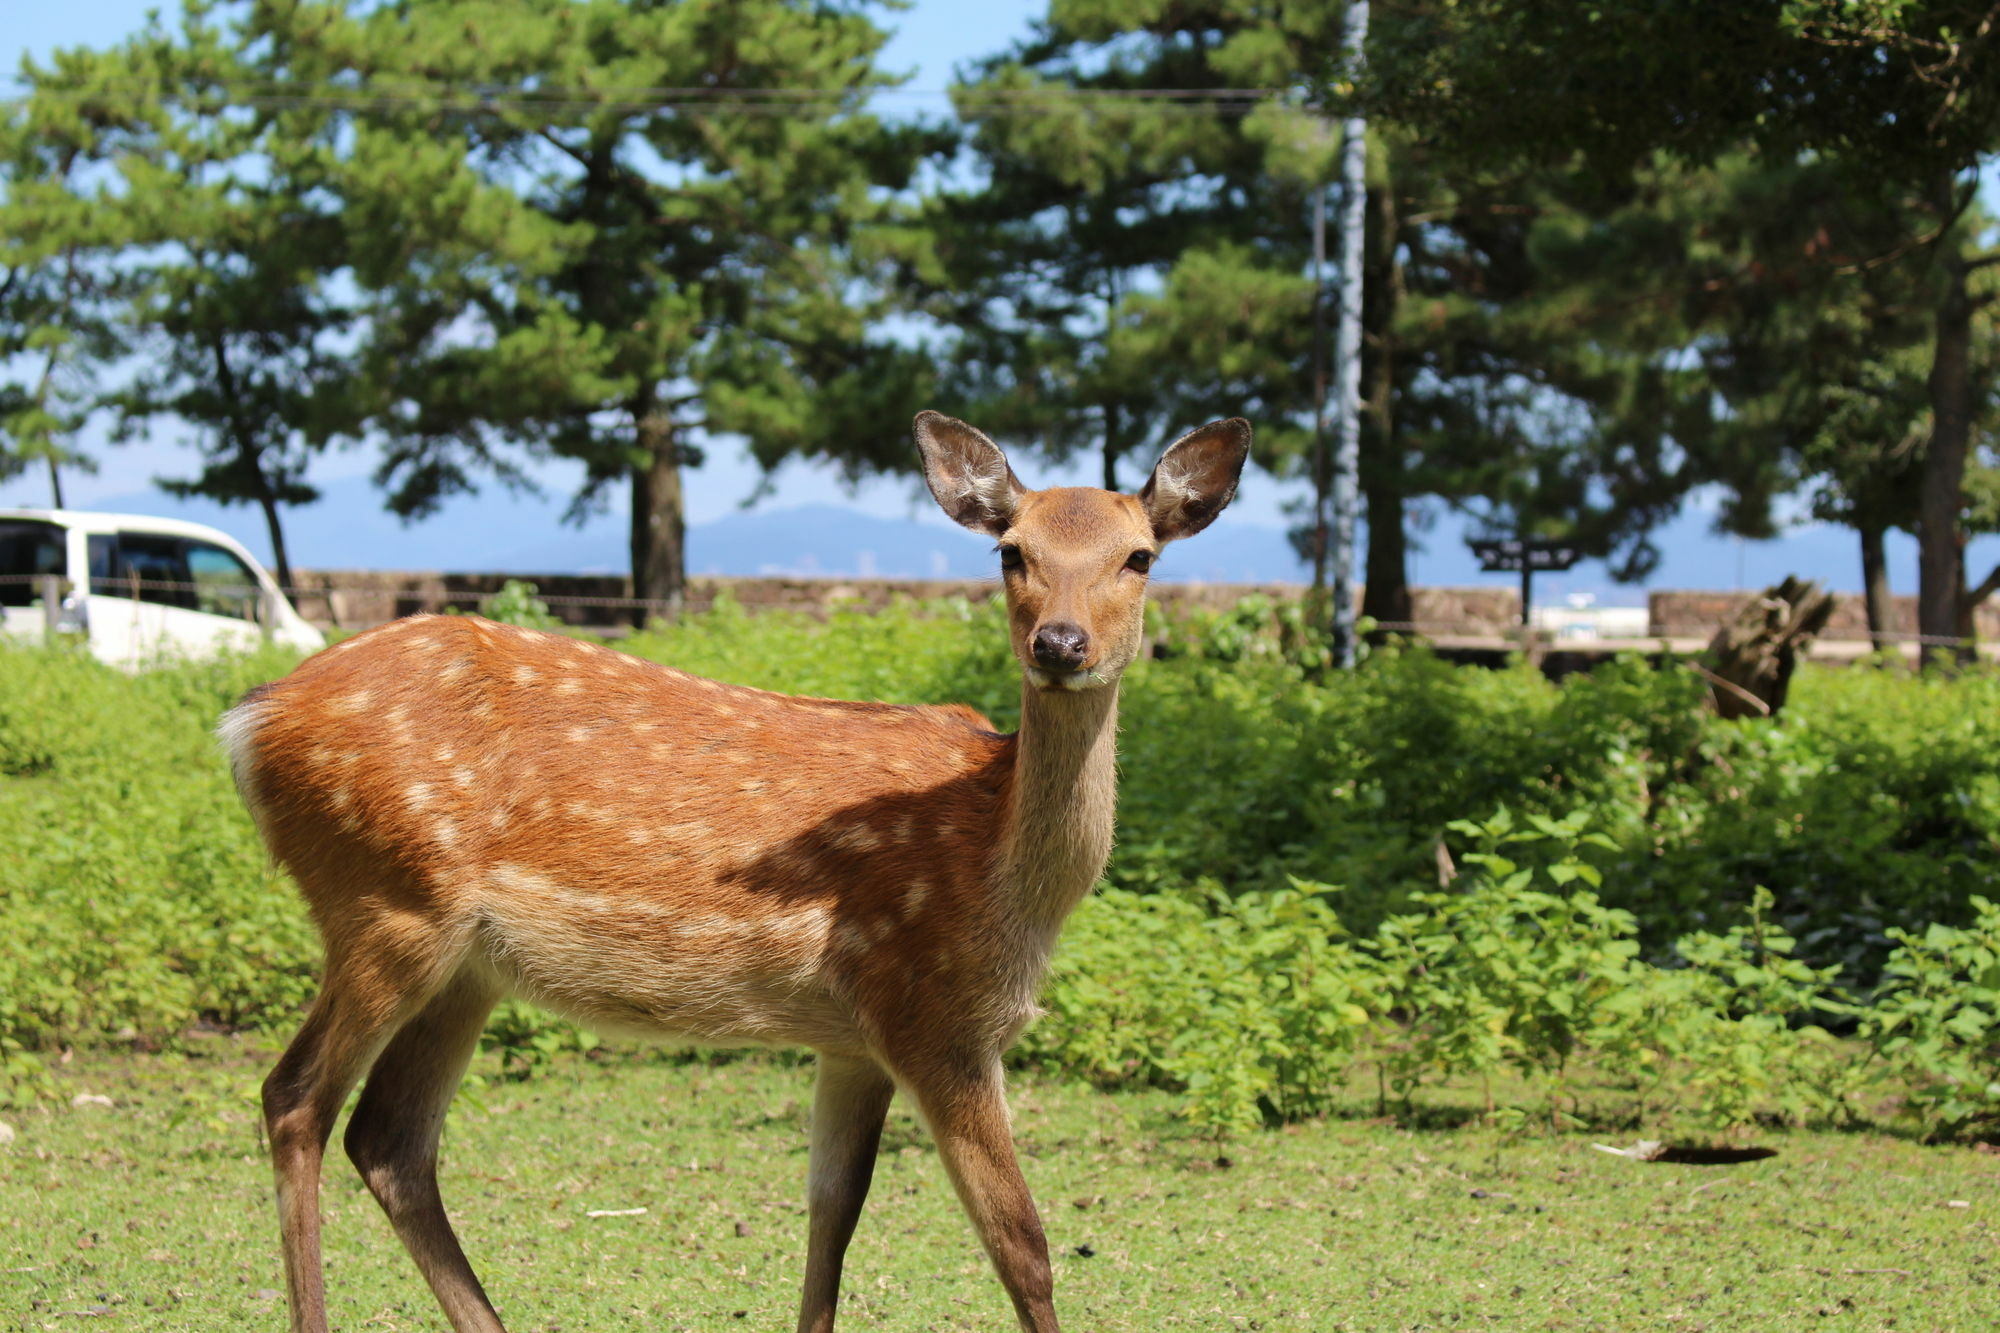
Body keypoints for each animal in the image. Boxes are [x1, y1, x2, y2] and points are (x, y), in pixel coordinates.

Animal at [219, 410, 1248, 1320]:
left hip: (466, 965)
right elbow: (1024, 1247)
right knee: (295, 1100)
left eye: (1139, 556)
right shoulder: (933, 1012)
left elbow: (833, 1219)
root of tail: (249, 721)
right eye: (1011, 551)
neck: (1005, 872)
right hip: (382, 901)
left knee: (389, 1139)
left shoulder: (853, 1038)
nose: (1061, 644)